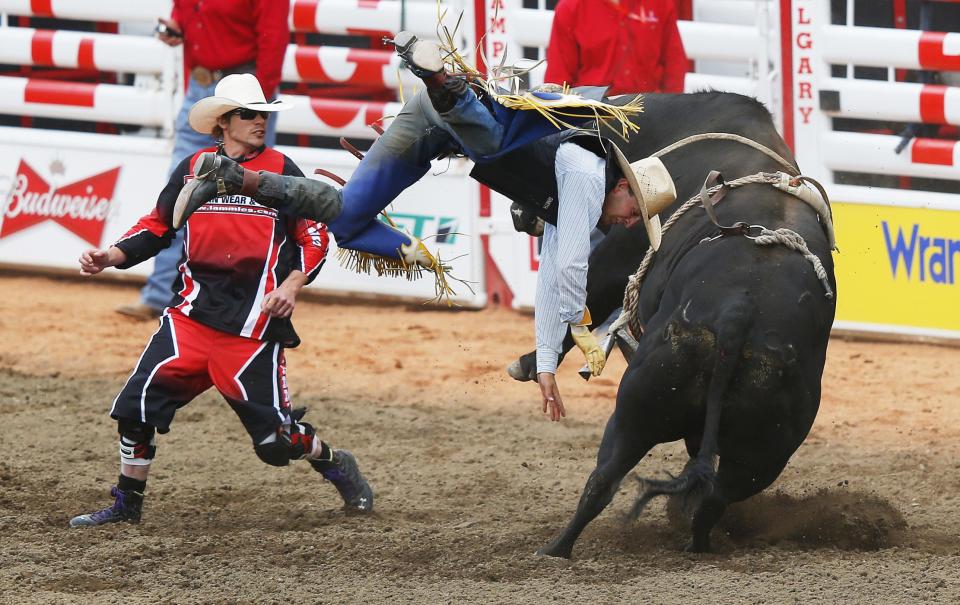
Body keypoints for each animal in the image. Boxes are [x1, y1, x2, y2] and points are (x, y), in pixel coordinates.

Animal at [528, 92, 836, 556]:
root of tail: (737, 314)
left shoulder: (619, 245)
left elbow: (585, 289)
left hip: (635, 410)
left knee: (603, 479)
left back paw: (556, 549)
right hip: (762, 451)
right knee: (714, 498)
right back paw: (698, 544)